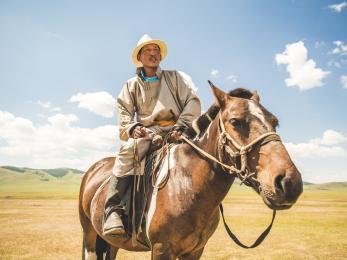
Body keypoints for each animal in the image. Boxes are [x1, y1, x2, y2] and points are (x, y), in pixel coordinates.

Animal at [79, 84, 302, 258]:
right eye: (235, 121)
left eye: (275, 122)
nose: (289, 182)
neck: (186, 186)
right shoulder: (161, 249)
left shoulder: (195, 250)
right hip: (89, 235)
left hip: (111, 242)